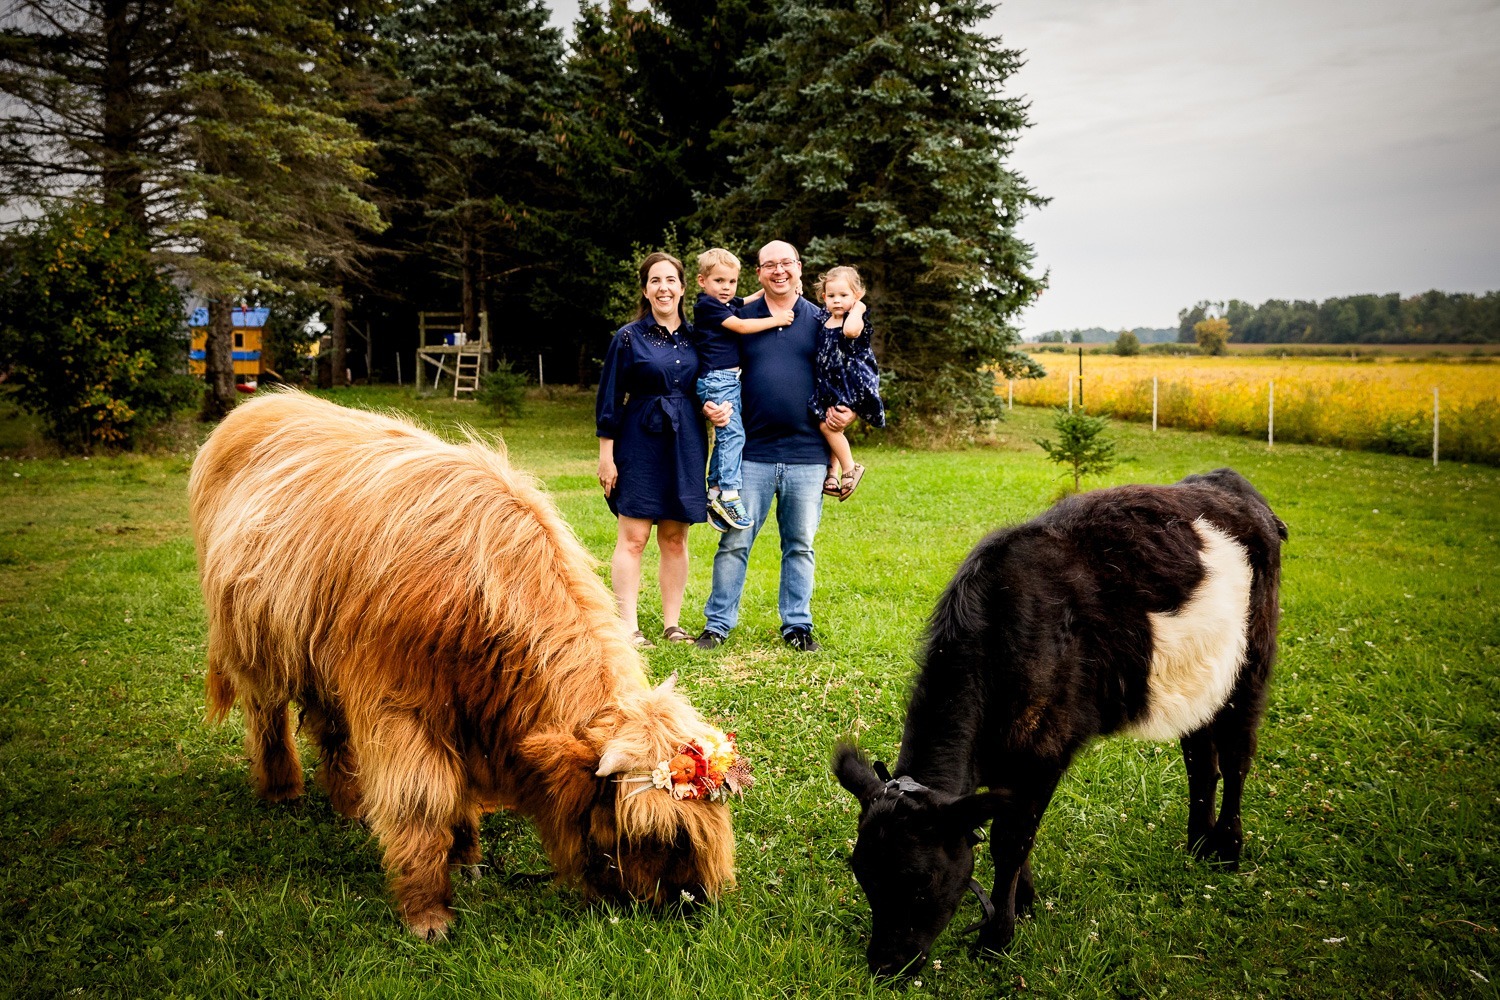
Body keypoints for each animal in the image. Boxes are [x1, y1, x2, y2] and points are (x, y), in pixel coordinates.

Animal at [190, 390, 743, 940]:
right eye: (661, 834)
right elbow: (422, 800)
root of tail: (260, 405)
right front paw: (427, 912)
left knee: (331, 730)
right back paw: (282, 790)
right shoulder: (399, 705)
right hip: (252, 641)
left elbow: (457, 792)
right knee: (266, 714)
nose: (694, 900)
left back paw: (352, 807)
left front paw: (466, 855)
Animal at [835, 469, 1286, 975]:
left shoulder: (1044, 751)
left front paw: (997, 936)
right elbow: (1014, 831)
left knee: (1236, 757)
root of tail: (1227, 482)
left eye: (921, 880)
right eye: (862, 874)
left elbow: (1011, 841)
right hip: (1202, 681)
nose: (885, 964)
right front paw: (1024, 902)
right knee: (1201, 763)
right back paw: (1198, 845)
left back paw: (1227, 848)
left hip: (1251, 663)